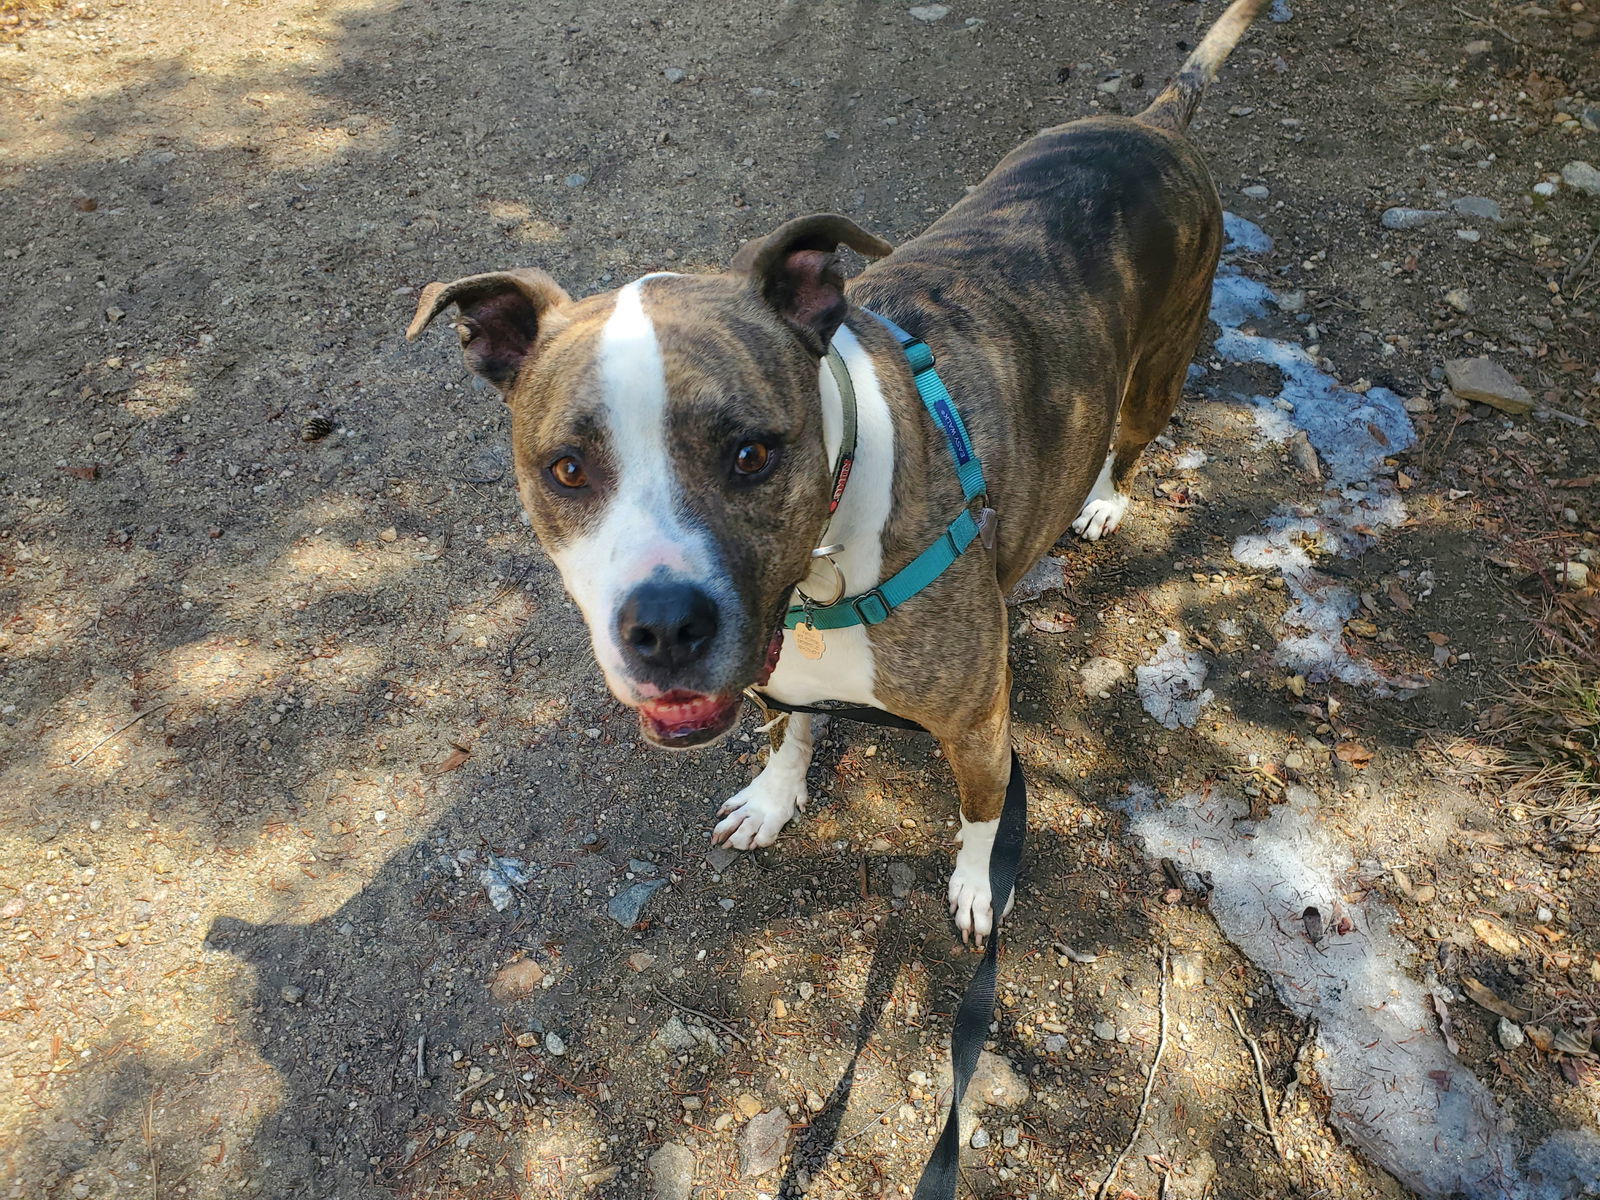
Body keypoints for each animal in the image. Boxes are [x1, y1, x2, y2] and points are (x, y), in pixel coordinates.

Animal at [412, 0, 1273, 940]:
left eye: (751, 454)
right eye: (567, 470)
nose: (665, 628)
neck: (822, 572)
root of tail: (1153, 123)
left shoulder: (979, 722)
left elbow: (982, 811)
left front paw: (979, 884)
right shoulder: (776, 678)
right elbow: (789, 736)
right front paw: (772, 799)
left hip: (1159, 368)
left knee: (1133, 437)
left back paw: (1107, 501)